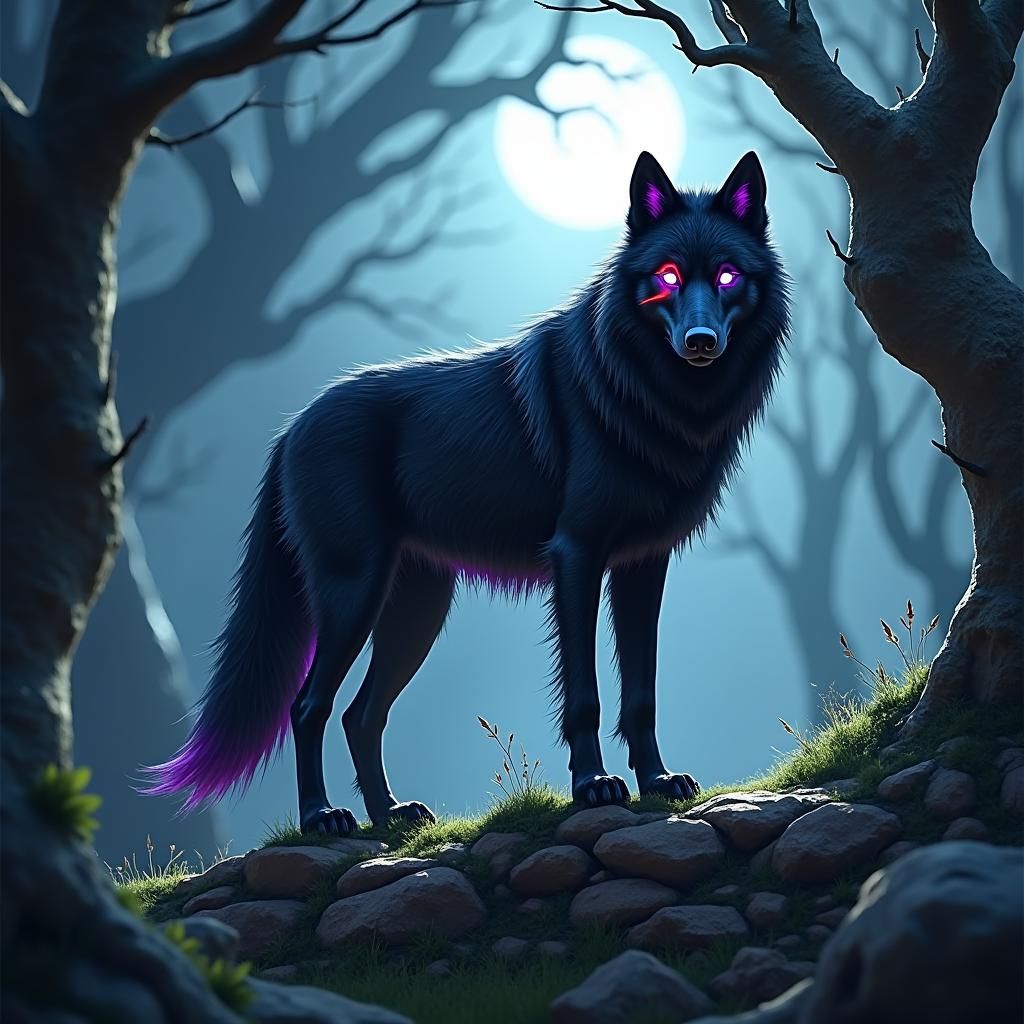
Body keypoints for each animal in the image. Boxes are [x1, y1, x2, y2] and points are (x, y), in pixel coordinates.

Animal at [145, 151, 790, 834]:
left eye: (726, 276)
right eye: (667, 275)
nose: (700, 342)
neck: (654, 398)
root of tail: (291, 427)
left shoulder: (644, 565)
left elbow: (642, 692)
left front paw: (660, 782)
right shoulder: (577, 554)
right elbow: (584, 694)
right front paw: (594, 786)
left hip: (415, 613)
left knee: (360, 714)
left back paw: (392, 816)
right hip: (354, 594)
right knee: (308, 706)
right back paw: (323, 817)